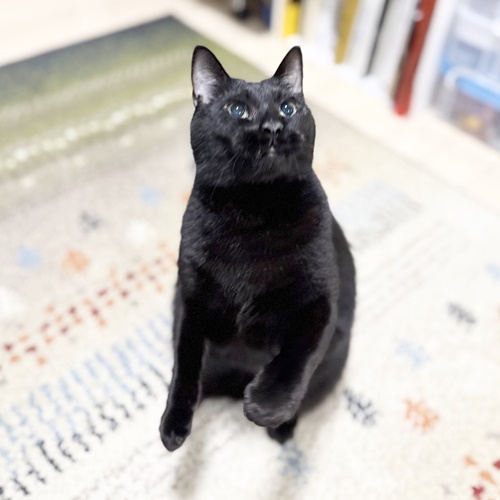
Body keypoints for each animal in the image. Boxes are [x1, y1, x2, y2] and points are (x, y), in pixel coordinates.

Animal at [159, 45, 356, 452]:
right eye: (237, 110)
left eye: (288, 108)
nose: (273, 128)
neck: (254, 213)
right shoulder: (190, 300)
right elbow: (185, 363)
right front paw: (173, 425)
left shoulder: (320, 303)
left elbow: (298, 354)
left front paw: (266, 405)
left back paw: (281, 426)